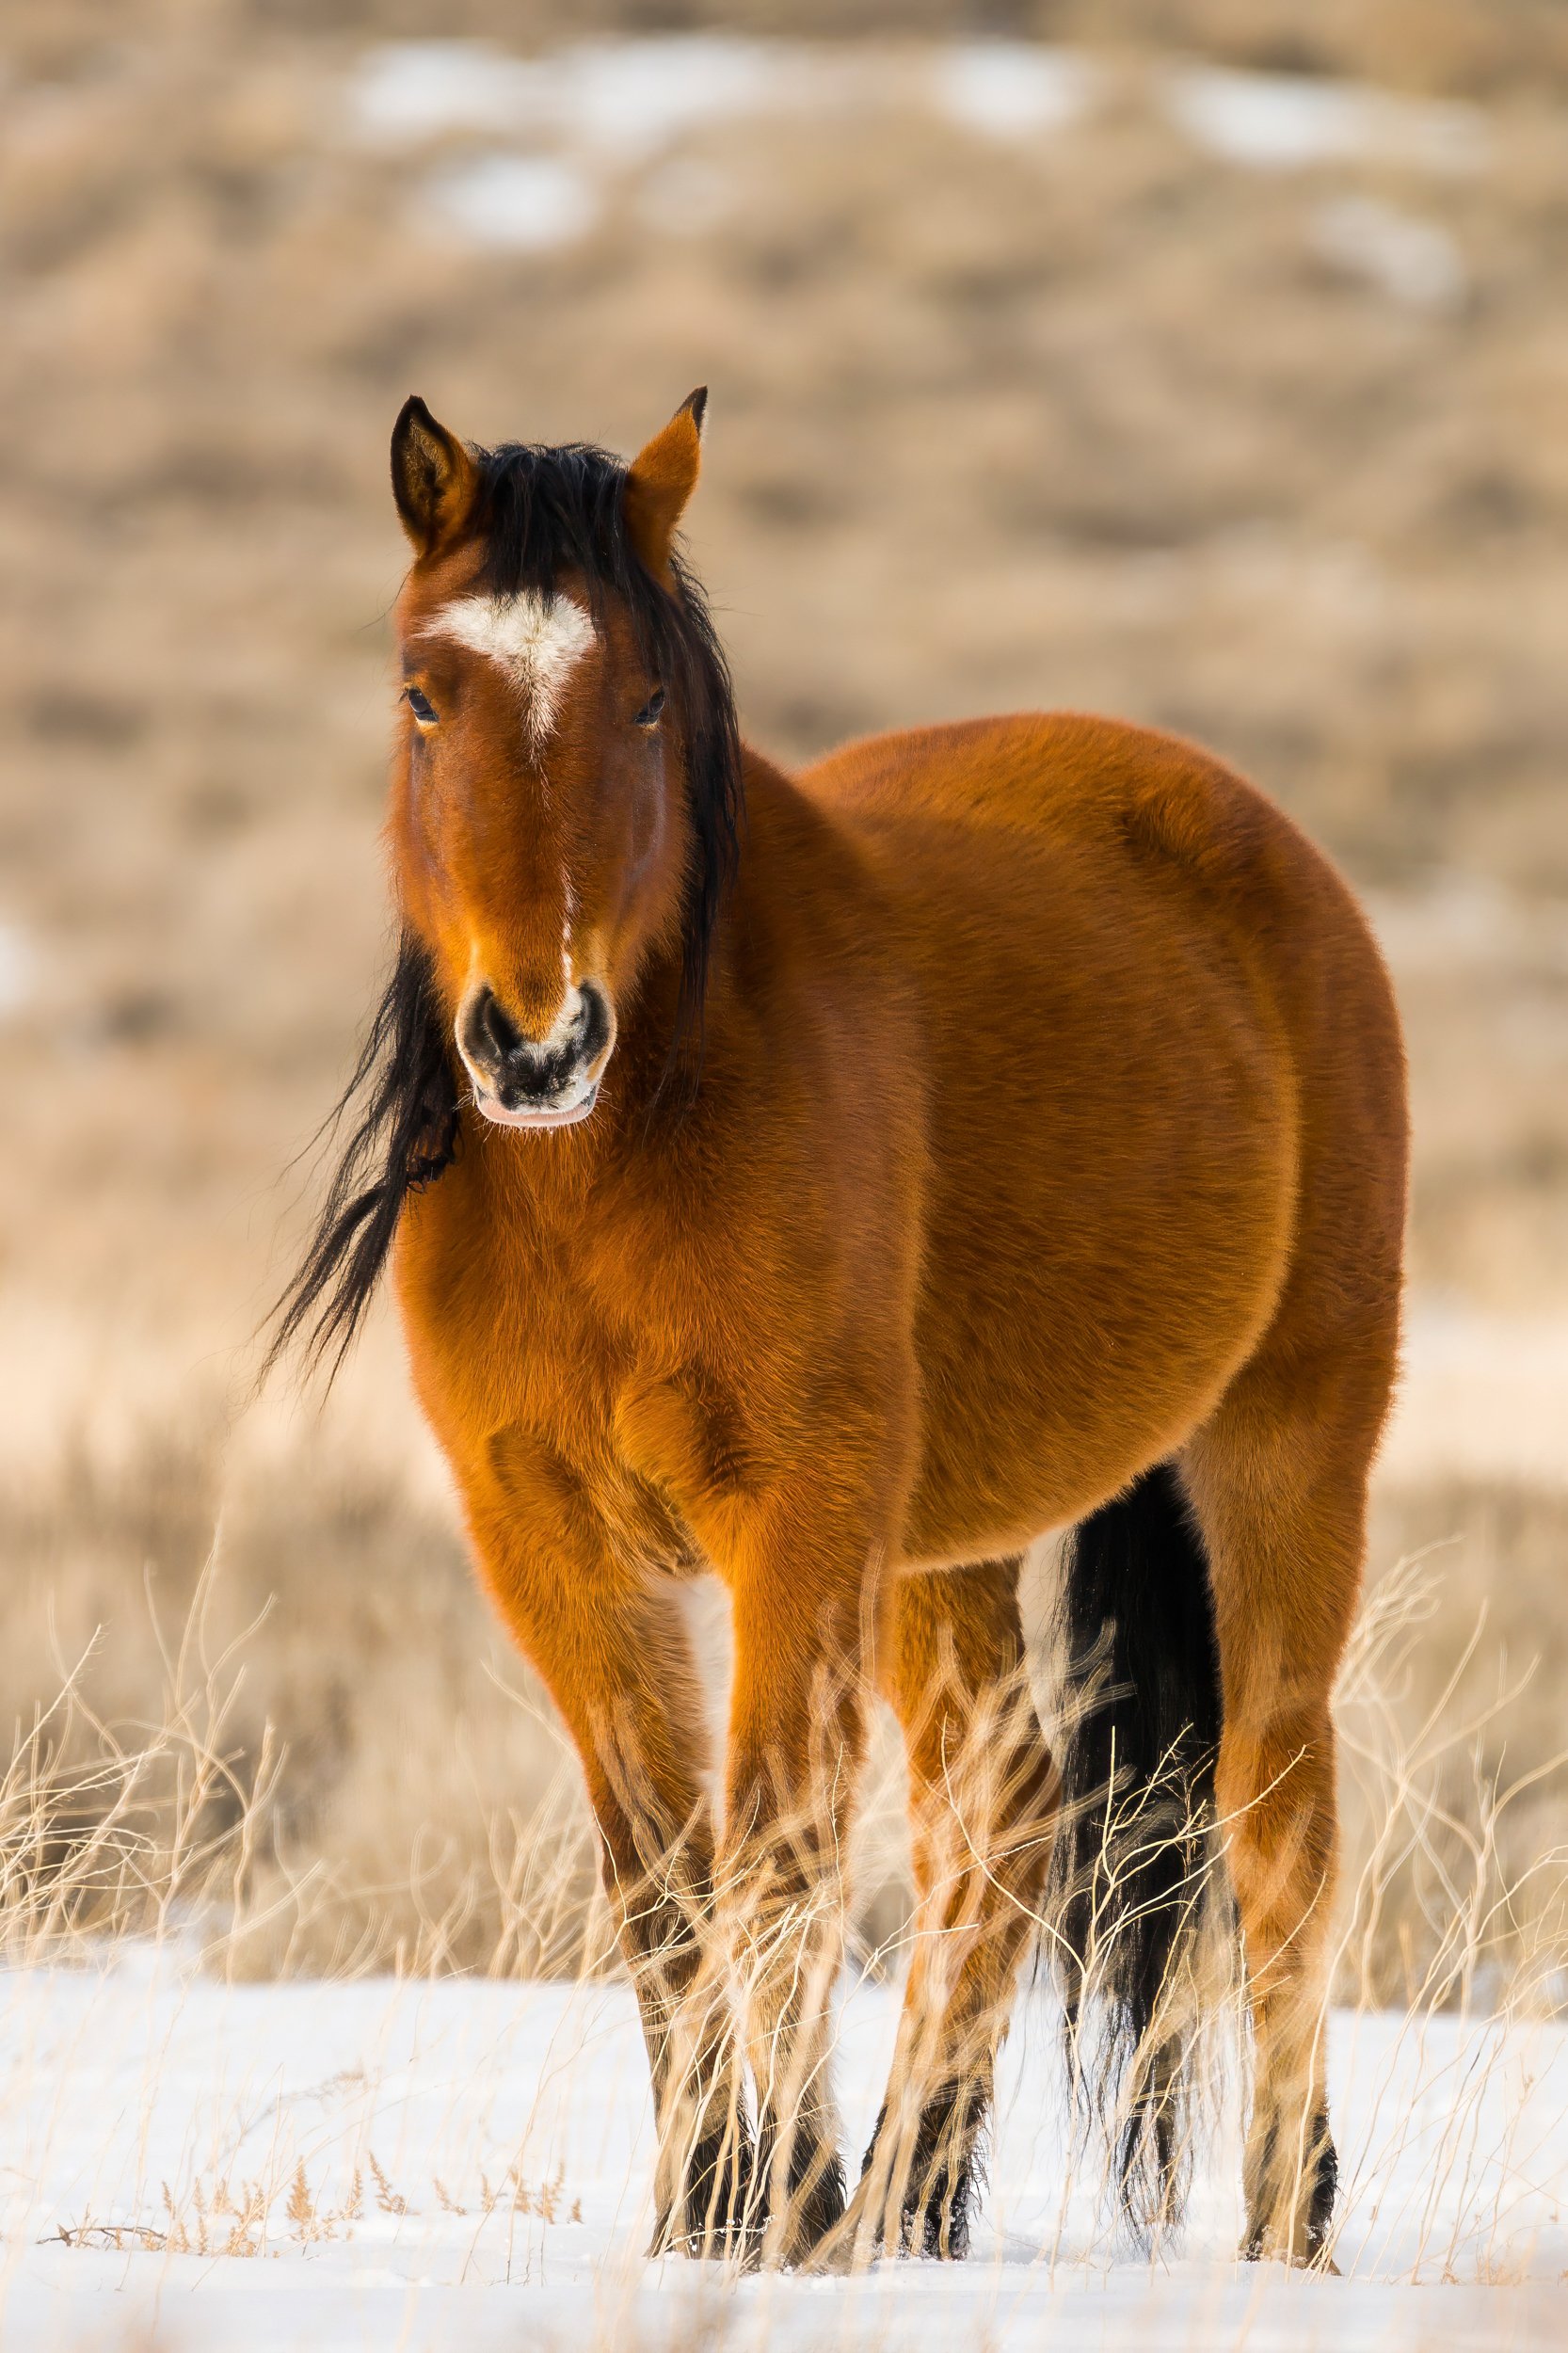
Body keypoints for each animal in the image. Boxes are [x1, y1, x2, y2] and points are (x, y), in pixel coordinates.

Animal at [274, 386, 1407, 2270]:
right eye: (425, 692)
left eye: (645, 699)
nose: (533, 1039)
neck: (615, 1160)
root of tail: (1269, 852)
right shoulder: (549, 1540)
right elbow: (660, 1878)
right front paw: (714, 2212)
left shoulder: (793, 1518)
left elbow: (775, 1853)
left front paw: (775, 2210)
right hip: (947, 1544)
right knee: (1000, 1814)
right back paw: (912, 2203)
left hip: (1282, 1451)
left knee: (1277, 1818)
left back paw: (1279, 2228)